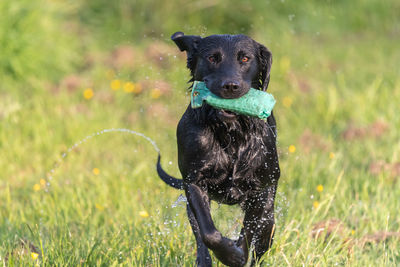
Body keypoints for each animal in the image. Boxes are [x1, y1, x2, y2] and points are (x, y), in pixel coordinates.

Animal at [157, 31, 282, 267]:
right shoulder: (194, 182)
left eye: (245, 58)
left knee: (263, 235)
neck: (230, 133)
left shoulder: (260, 189)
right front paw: (230, 254)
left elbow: (249, 232)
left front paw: (238, 254)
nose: (230, 86)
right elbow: (209, 233)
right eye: (212, 58)